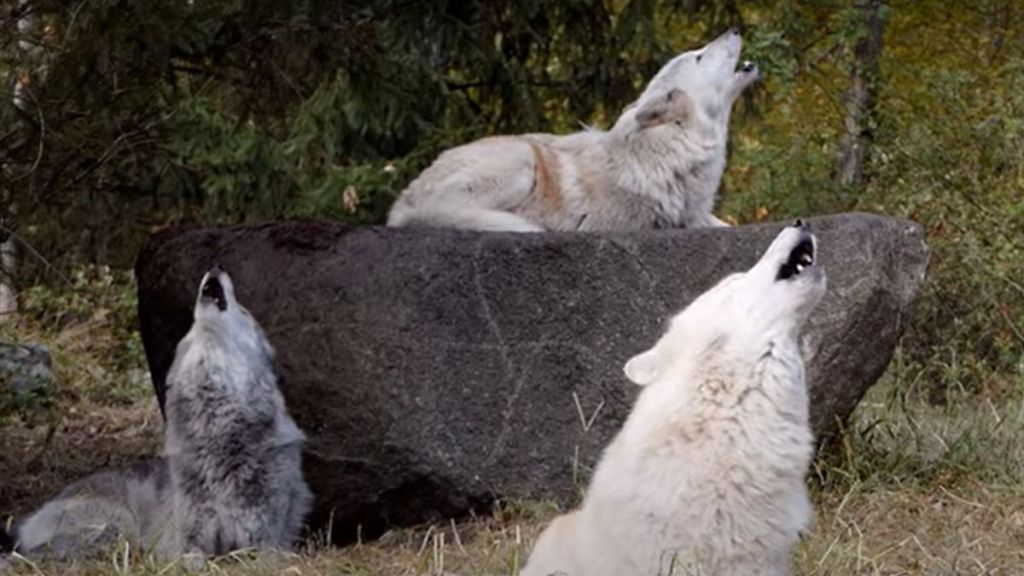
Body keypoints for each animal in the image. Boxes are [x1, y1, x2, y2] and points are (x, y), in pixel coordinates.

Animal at [2, 266, 309, 557]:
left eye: (244, 311)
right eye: (191, 329)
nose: (216, 267)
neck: (218, 436)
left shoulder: (264, 542)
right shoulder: (185, 543)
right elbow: (191, 559)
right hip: (115, 527)